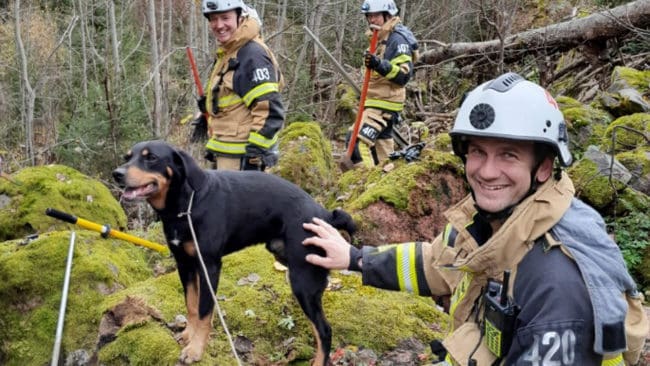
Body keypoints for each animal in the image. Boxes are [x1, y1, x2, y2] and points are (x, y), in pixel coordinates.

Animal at [111, 139, 354, 364]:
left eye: (151, 157)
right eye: (127, 157)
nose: (117, 174)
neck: (186, 205)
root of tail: (323, 214)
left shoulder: (209, 266)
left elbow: (204, 311)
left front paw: (195, 350)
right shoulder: (185, 263)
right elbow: (191, 305)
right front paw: (188, 335)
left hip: (304, 281)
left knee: (324, 330)